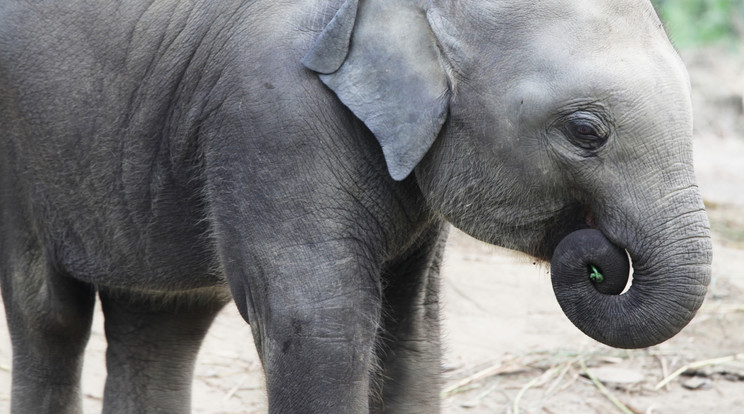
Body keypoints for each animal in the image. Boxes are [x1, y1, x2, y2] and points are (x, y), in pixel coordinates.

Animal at [0, 0, 708, 412]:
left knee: (161, 324)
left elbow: (412, 336)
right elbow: (321, 332)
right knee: (50, 316)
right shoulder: (275, 120)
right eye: (586, 131)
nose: (597, 258)